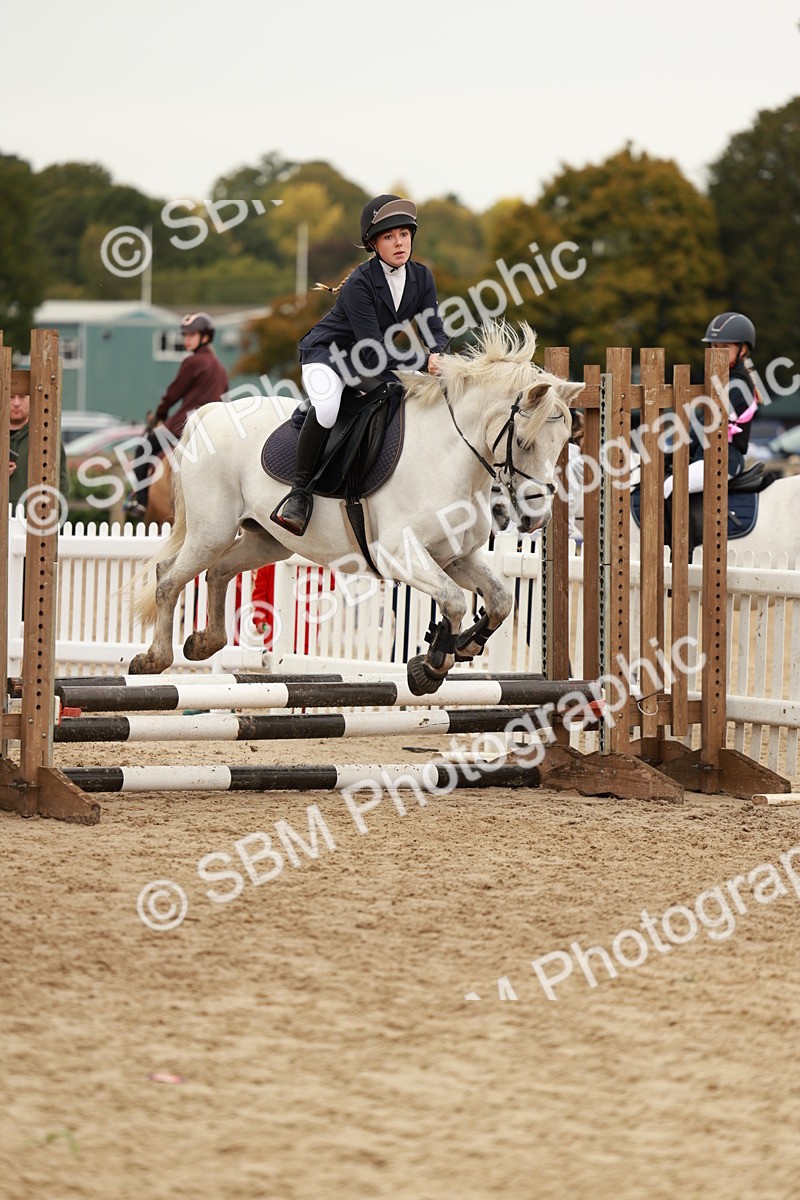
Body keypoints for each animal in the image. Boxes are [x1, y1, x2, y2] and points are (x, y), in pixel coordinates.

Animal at [129, 322, 583, 694]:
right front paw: (432, 665)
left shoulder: (454, 556)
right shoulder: (399, 553)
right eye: (523, 442)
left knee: (218, 571)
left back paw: (204, 642)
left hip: (267, 541)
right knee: (168, 577)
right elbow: (454, 601)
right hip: (212, 532)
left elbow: (501, 599)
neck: (450, 455)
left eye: (564, 443)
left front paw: (465, 644)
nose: (536, 518)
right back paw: (153, 659)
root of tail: (212, 413)